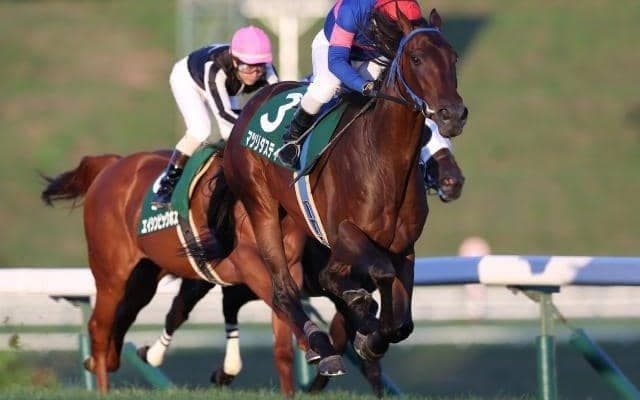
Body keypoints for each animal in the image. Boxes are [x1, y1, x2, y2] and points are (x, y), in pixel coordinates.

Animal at [220, 8, 468, 375]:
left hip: (294, 222)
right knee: (283, 289)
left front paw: (370, 332)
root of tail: (251, 106)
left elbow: (401, 324)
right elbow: (375, 274)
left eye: (453, 57)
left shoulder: (403, 248)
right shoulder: (344, 233)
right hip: (260, 207)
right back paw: (323, 347)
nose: (453, 115)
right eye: (417, 58)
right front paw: (365, 324)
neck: (383, 162)